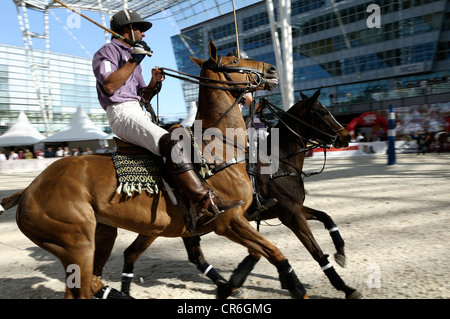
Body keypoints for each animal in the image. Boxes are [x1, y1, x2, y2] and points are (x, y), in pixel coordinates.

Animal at [1, 42, 314, 300]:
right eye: (234, 59)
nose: (271, 69)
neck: (222, 145)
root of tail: (26, 191)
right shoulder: (229, 221)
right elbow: (274, 252)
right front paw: (297, 288)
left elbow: (263, 252)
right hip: (76, 242)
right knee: (82, 288)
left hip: (99, 232)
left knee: (93, 282)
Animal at [118, 89, 362, 298]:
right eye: (322, 111)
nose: (345, 136)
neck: (280, 163)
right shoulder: (290, 213)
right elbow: (315, 250)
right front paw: (345, 287)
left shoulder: (288, 209)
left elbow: (326, 217)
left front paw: (340, 252)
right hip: (158, 226)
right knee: (134, 253)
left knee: (190, 255)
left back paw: (225, 286)